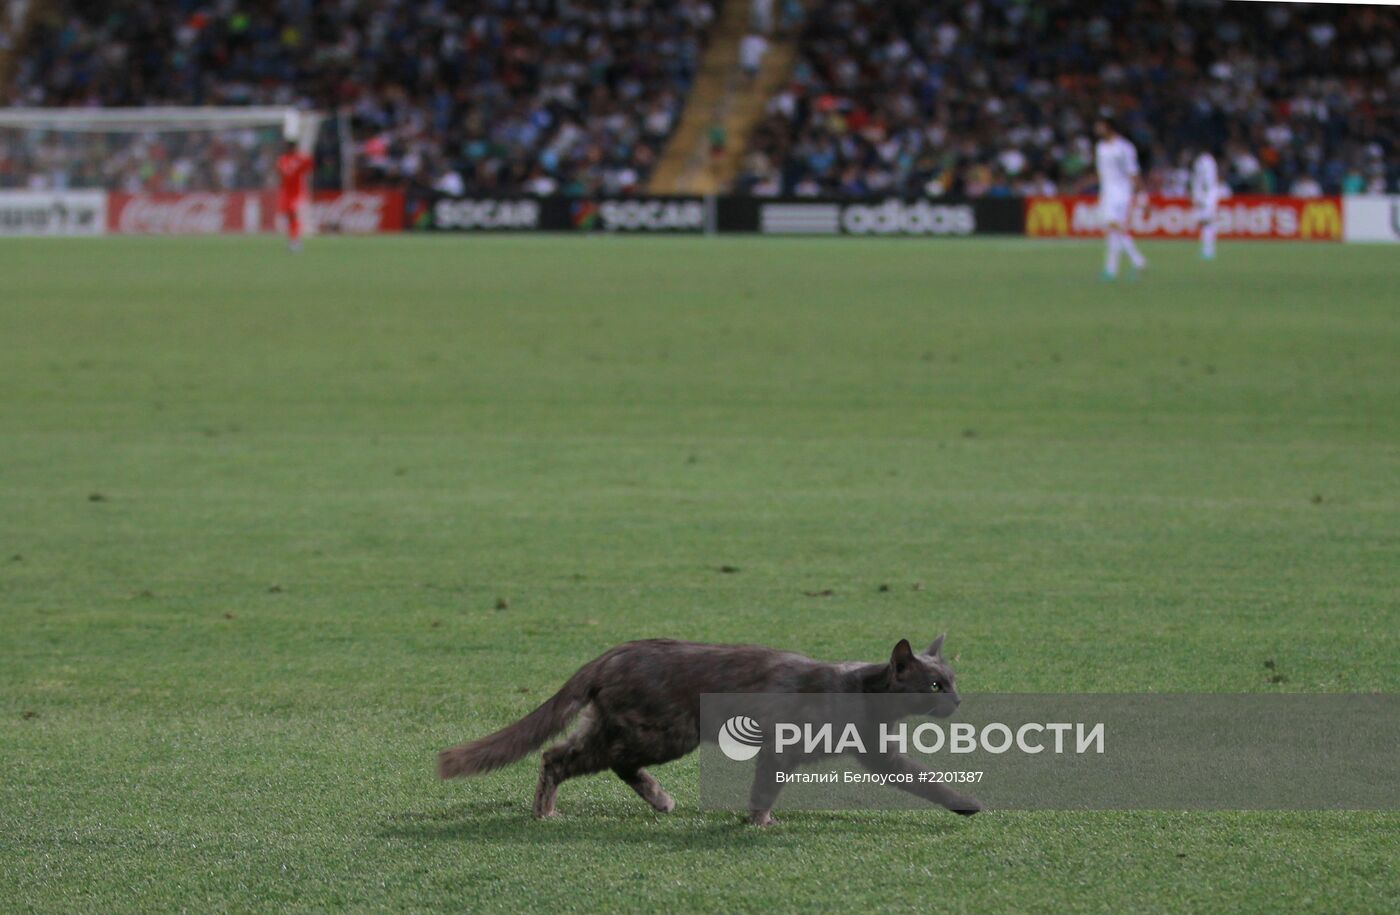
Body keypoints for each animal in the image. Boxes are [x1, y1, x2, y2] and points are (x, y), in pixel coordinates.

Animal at [439, 637, 985, 822]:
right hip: (663, 730)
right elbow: (766, 785)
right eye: (935, 684)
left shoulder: (877, 753)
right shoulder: (782, 743)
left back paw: (660, 799)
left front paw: (964, 804)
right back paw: (546, 812)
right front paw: (759, 822)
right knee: (559, 756)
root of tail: (612, 653)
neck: (862, 694)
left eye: (954, 681)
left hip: (642, 730)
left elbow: (920, 776)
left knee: (604, 760)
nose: (957, 701)